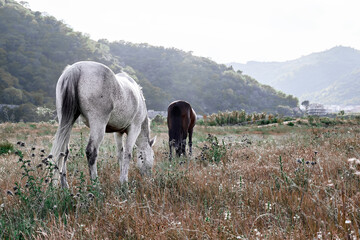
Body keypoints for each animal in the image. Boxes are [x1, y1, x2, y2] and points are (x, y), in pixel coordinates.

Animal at [51, 60, 156, 188]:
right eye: (153, 156)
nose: (149, 178)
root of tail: (76, 68)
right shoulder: (134, 128)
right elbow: (127, 154)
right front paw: (124, 182)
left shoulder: (118, 133)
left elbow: (120, 153)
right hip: (98, 123)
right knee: (91, 152)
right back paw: (96, 186)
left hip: (67, 121)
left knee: (64, 152)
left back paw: (65, 186)